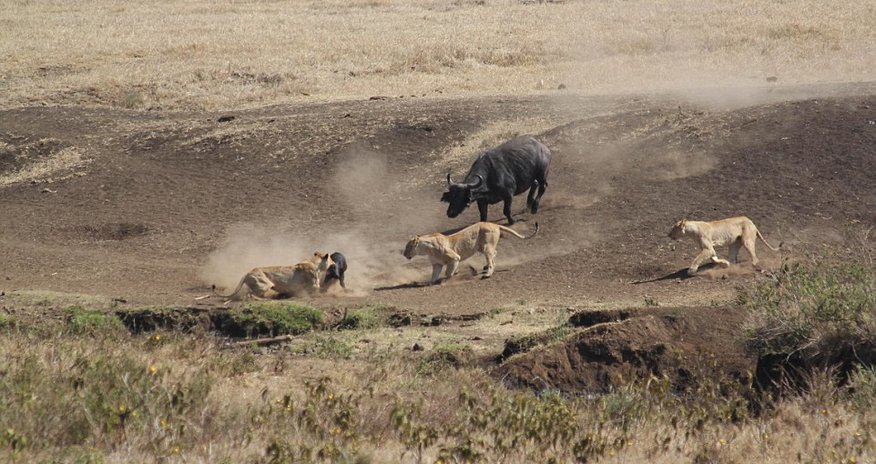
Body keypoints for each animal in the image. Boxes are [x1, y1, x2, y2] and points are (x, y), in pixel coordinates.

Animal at [403, 222, 538, 284]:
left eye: (408, 247)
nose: (404, 254)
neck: (426, 249)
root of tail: (494, 224)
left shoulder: (455, 257)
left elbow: (448, 272)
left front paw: (449, 279)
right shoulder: (437, 264)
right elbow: (434, 276)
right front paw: (432, 282)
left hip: (486, 246)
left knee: (492, 262)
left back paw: (487, 274)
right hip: (481, 247)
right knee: (494, 254)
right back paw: (484, 267)